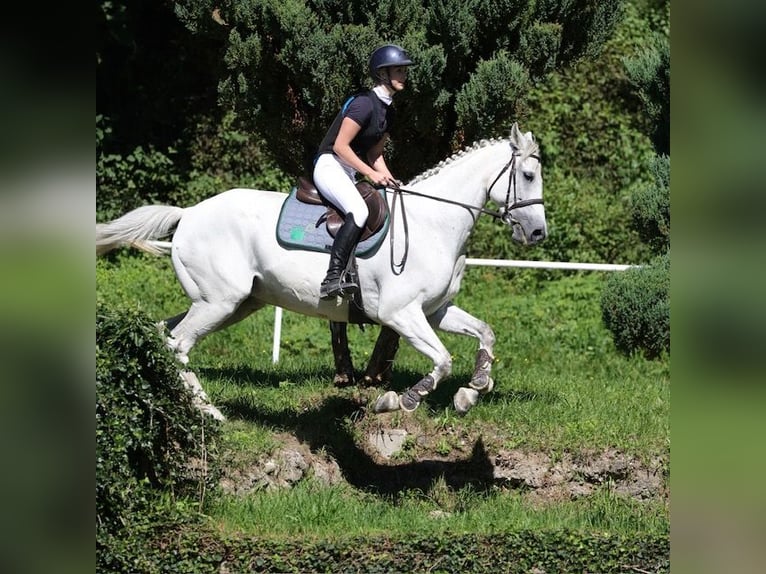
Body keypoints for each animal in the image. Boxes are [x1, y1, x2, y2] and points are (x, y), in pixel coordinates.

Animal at [96, 123, 546, 415]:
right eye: (527, 175)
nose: (538, 232)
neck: (433, 223)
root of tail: (188, 213)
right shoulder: (400, 313)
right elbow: (442, 360)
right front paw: (399, 399)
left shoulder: (435, 311)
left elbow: (485, 333)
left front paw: (473, 389)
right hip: (218, 302)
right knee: (178, 346)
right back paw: (210, 413)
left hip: (234, 303)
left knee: (163, 335)